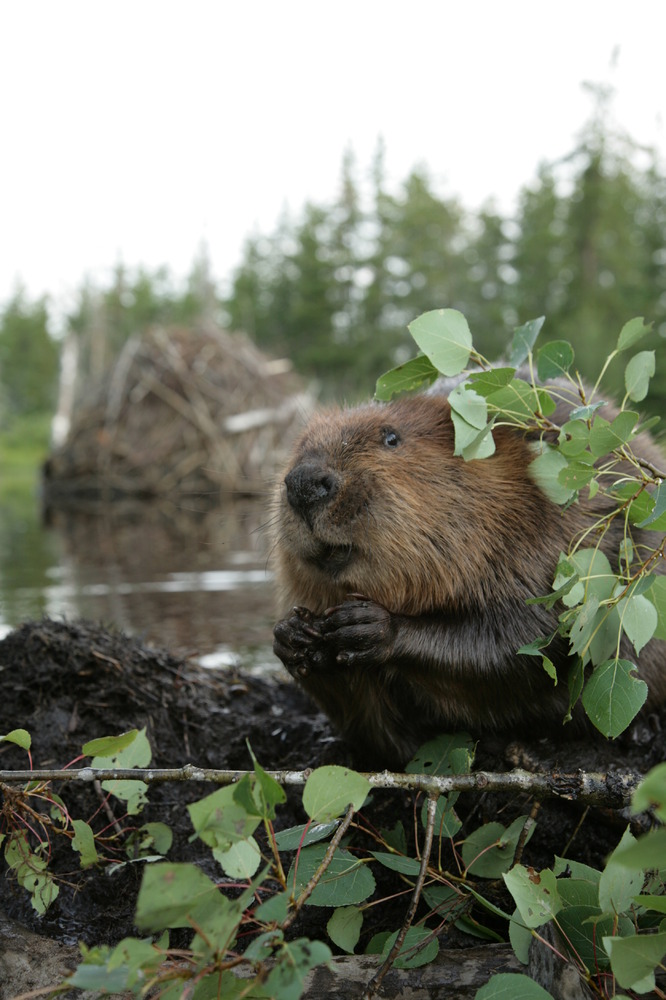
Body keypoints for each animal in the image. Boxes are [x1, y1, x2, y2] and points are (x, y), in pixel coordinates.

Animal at [272, 382, 664, 764]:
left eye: (391, 437)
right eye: (301, 445)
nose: (305, 483)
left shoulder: (553, 541)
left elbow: (526, 639)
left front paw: (370, 627)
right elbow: (377, 735)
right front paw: (295, 636)